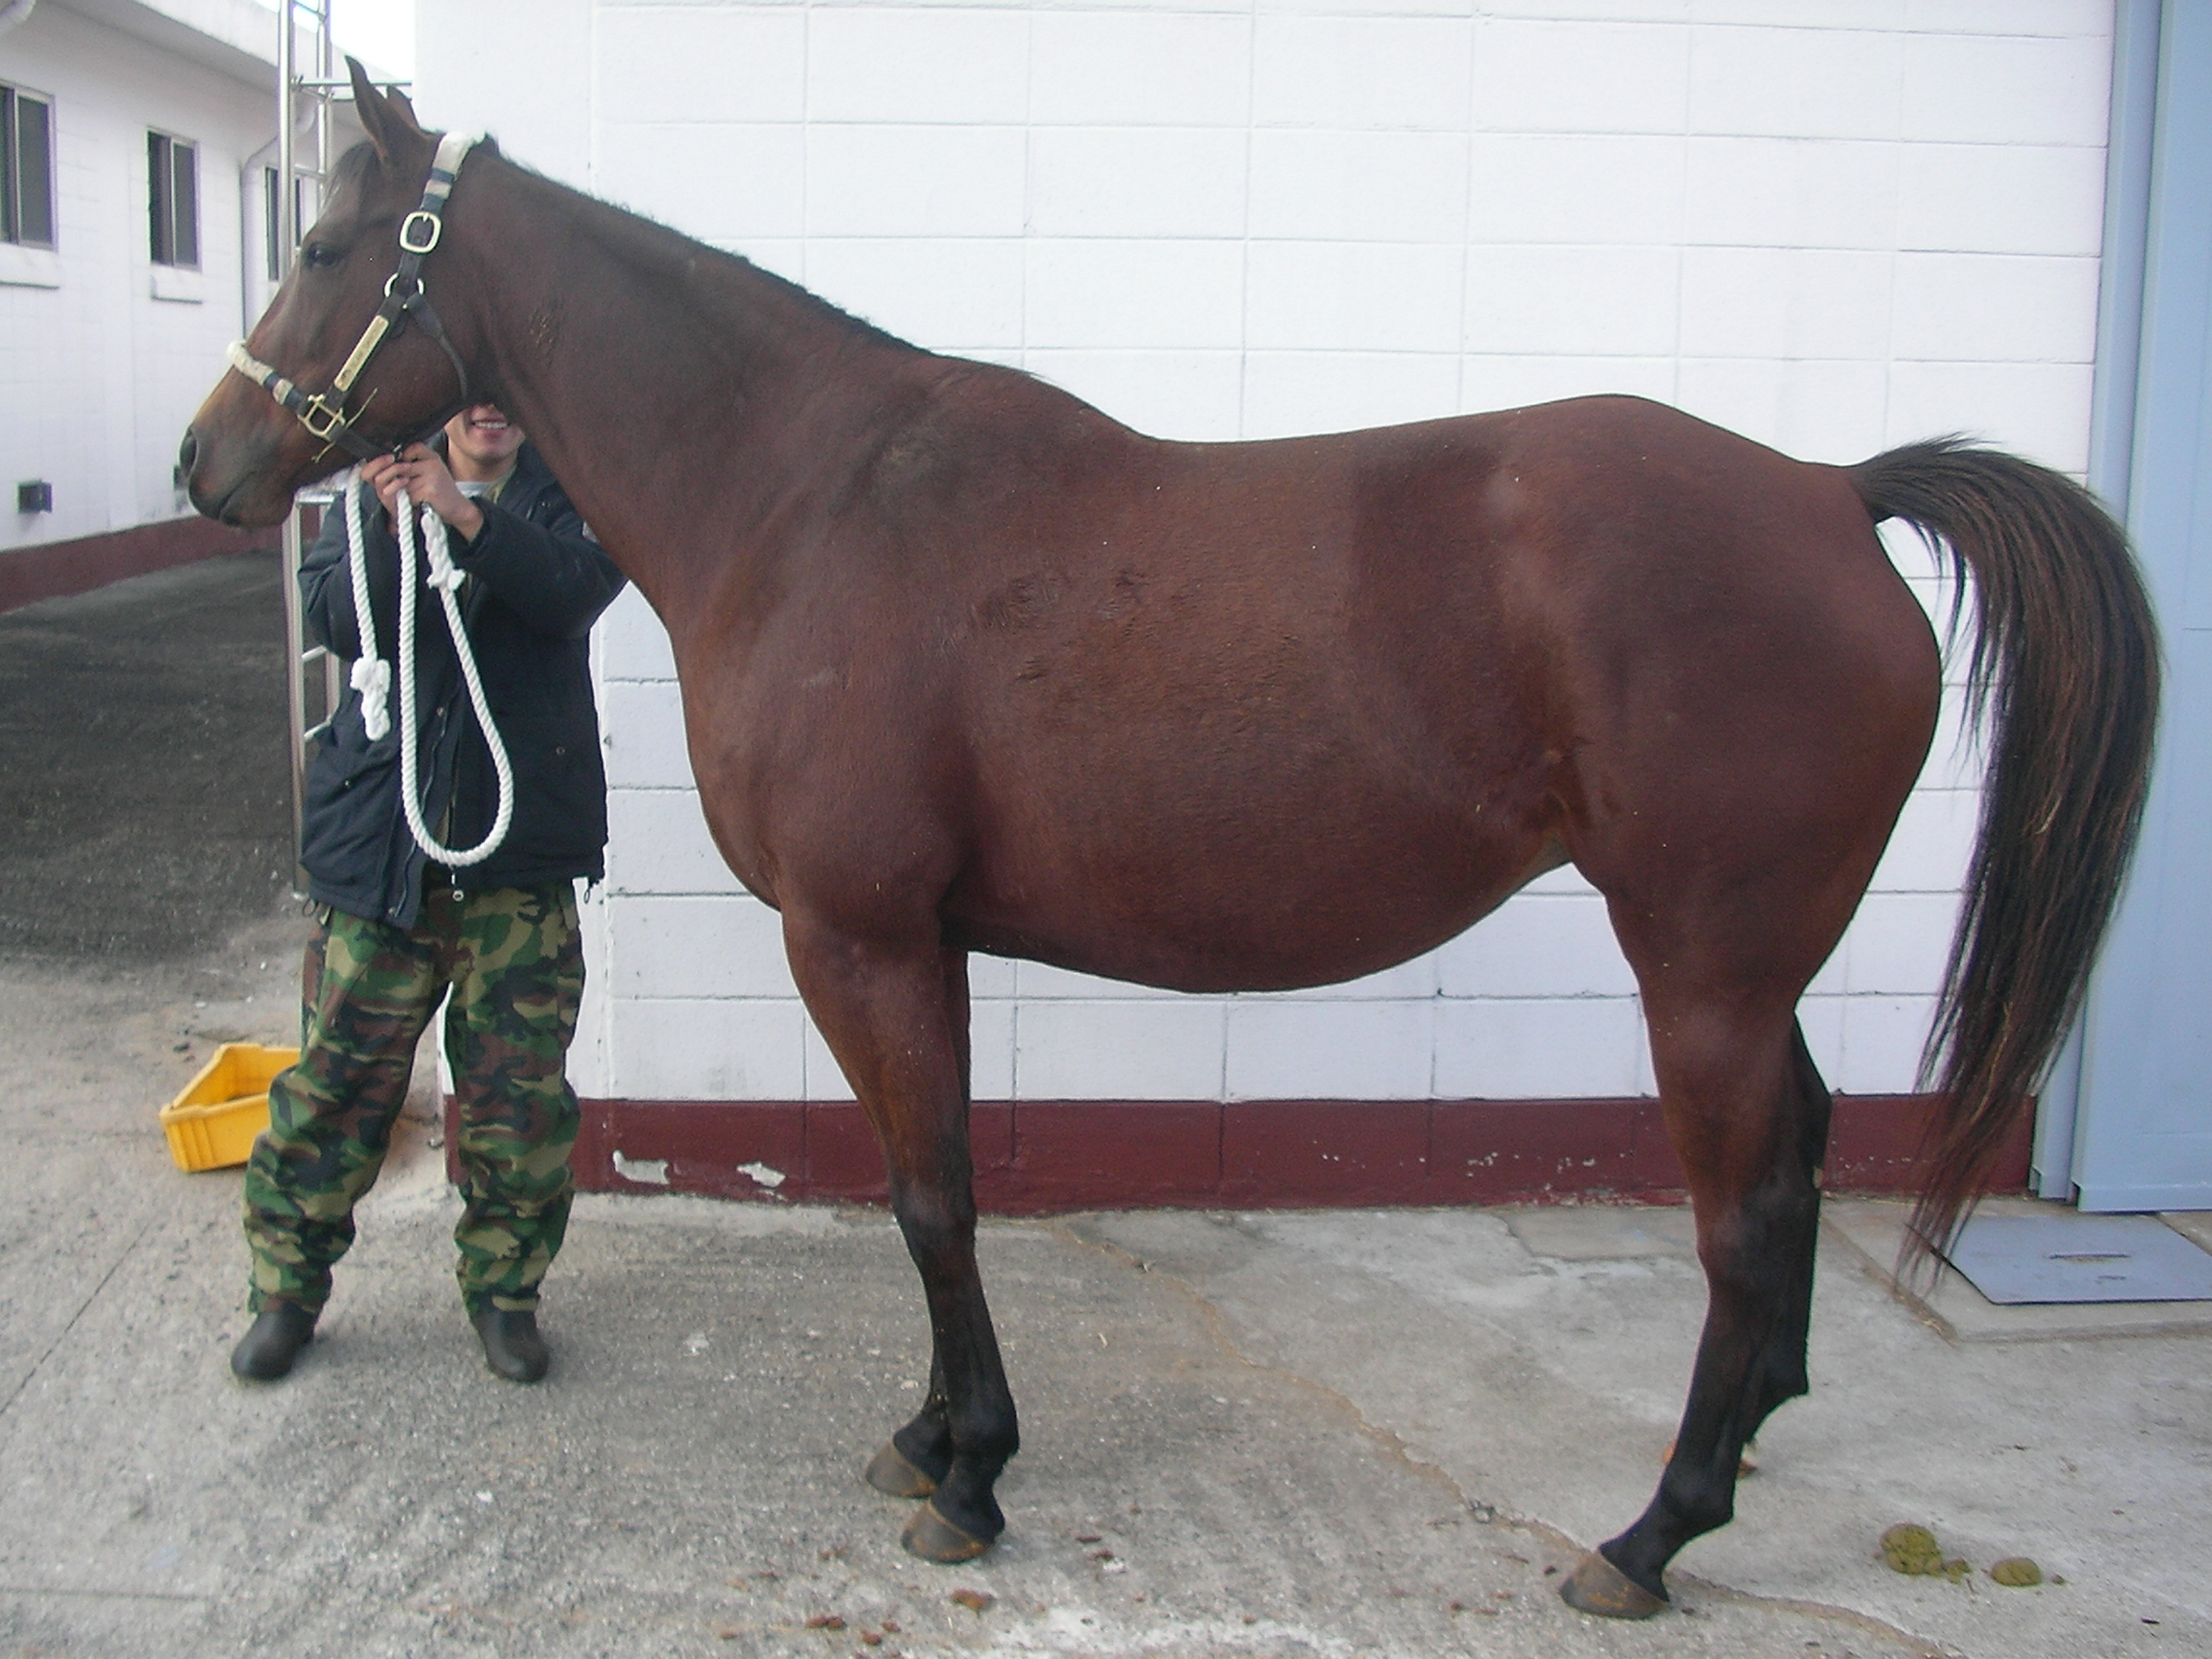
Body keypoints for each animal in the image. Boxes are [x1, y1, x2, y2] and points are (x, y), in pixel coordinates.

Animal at [179, 64, 2157, 1619]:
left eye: (326, 249)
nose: (209, 465)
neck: (809, 498)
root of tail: (1831, 494)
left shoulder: (862, 935)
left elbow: (932, 1194)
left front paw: (972, 1477)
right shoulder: (923, 945)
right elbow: (932, 1184)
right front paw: (930, 1436)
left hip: (1704, 969)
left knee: (1744, 1214)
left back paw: (1652, 1535)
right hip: (1749, 966)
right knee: (1804, 1157)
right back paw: (1747, 1444)